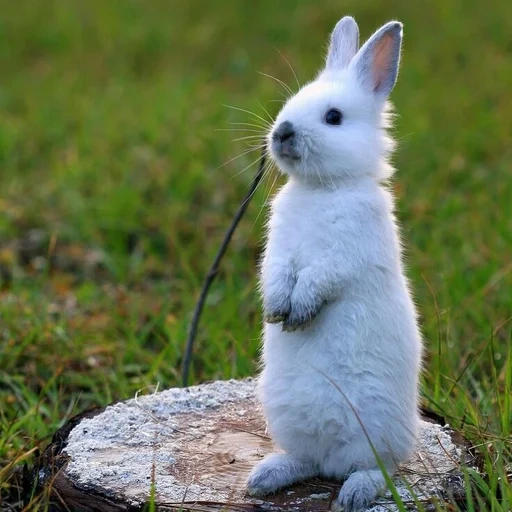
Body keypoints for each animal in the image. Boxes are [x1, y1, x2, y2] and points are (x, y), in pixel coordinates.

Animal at [246, 16, 422, 512]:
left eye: (334, 118)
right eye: (290, 103)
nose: (282, 133)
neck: (322, 188)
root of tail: (332, 458)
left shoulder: (345, 253)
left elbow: (319, 277)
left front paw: (298, 311)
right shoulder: (279, 250)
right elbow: (277, 275)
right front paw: (276, 311)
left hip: (378, 431)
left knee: (381, 469)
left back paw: (353, 494)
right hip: (286, 418)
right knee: (306, 461)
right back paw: (264, 477)